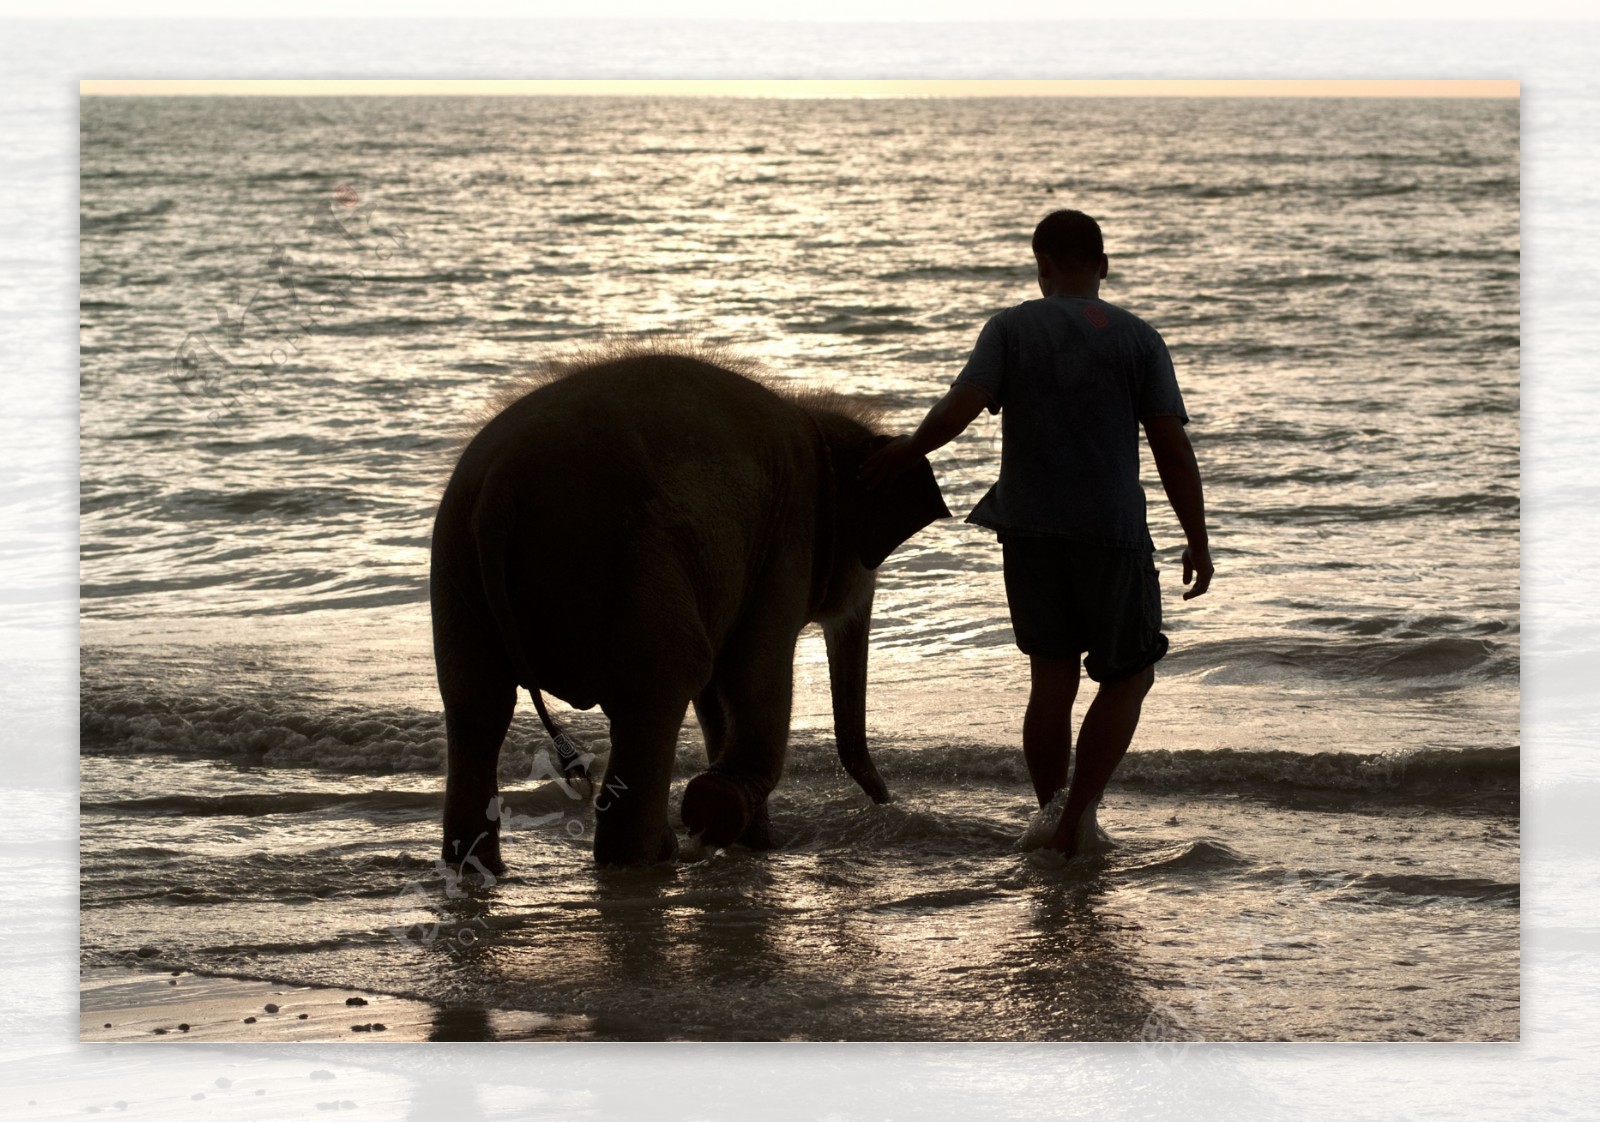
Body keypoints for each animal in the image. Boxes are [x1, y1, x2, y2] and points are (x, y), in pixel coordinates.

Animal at [428, 350, 947, 870]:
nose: (884, 801)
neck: (817, 424)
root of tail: (499, 487)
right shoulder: (786, 541)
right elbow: (750, 671)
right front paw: (724, 812)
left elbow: (719, 690)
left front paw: (753, 841)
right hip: (629, 563)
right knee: (664, 683)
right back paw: (654, 857)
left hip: (457, 571)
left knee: (475, 703)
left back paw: (478, 866)